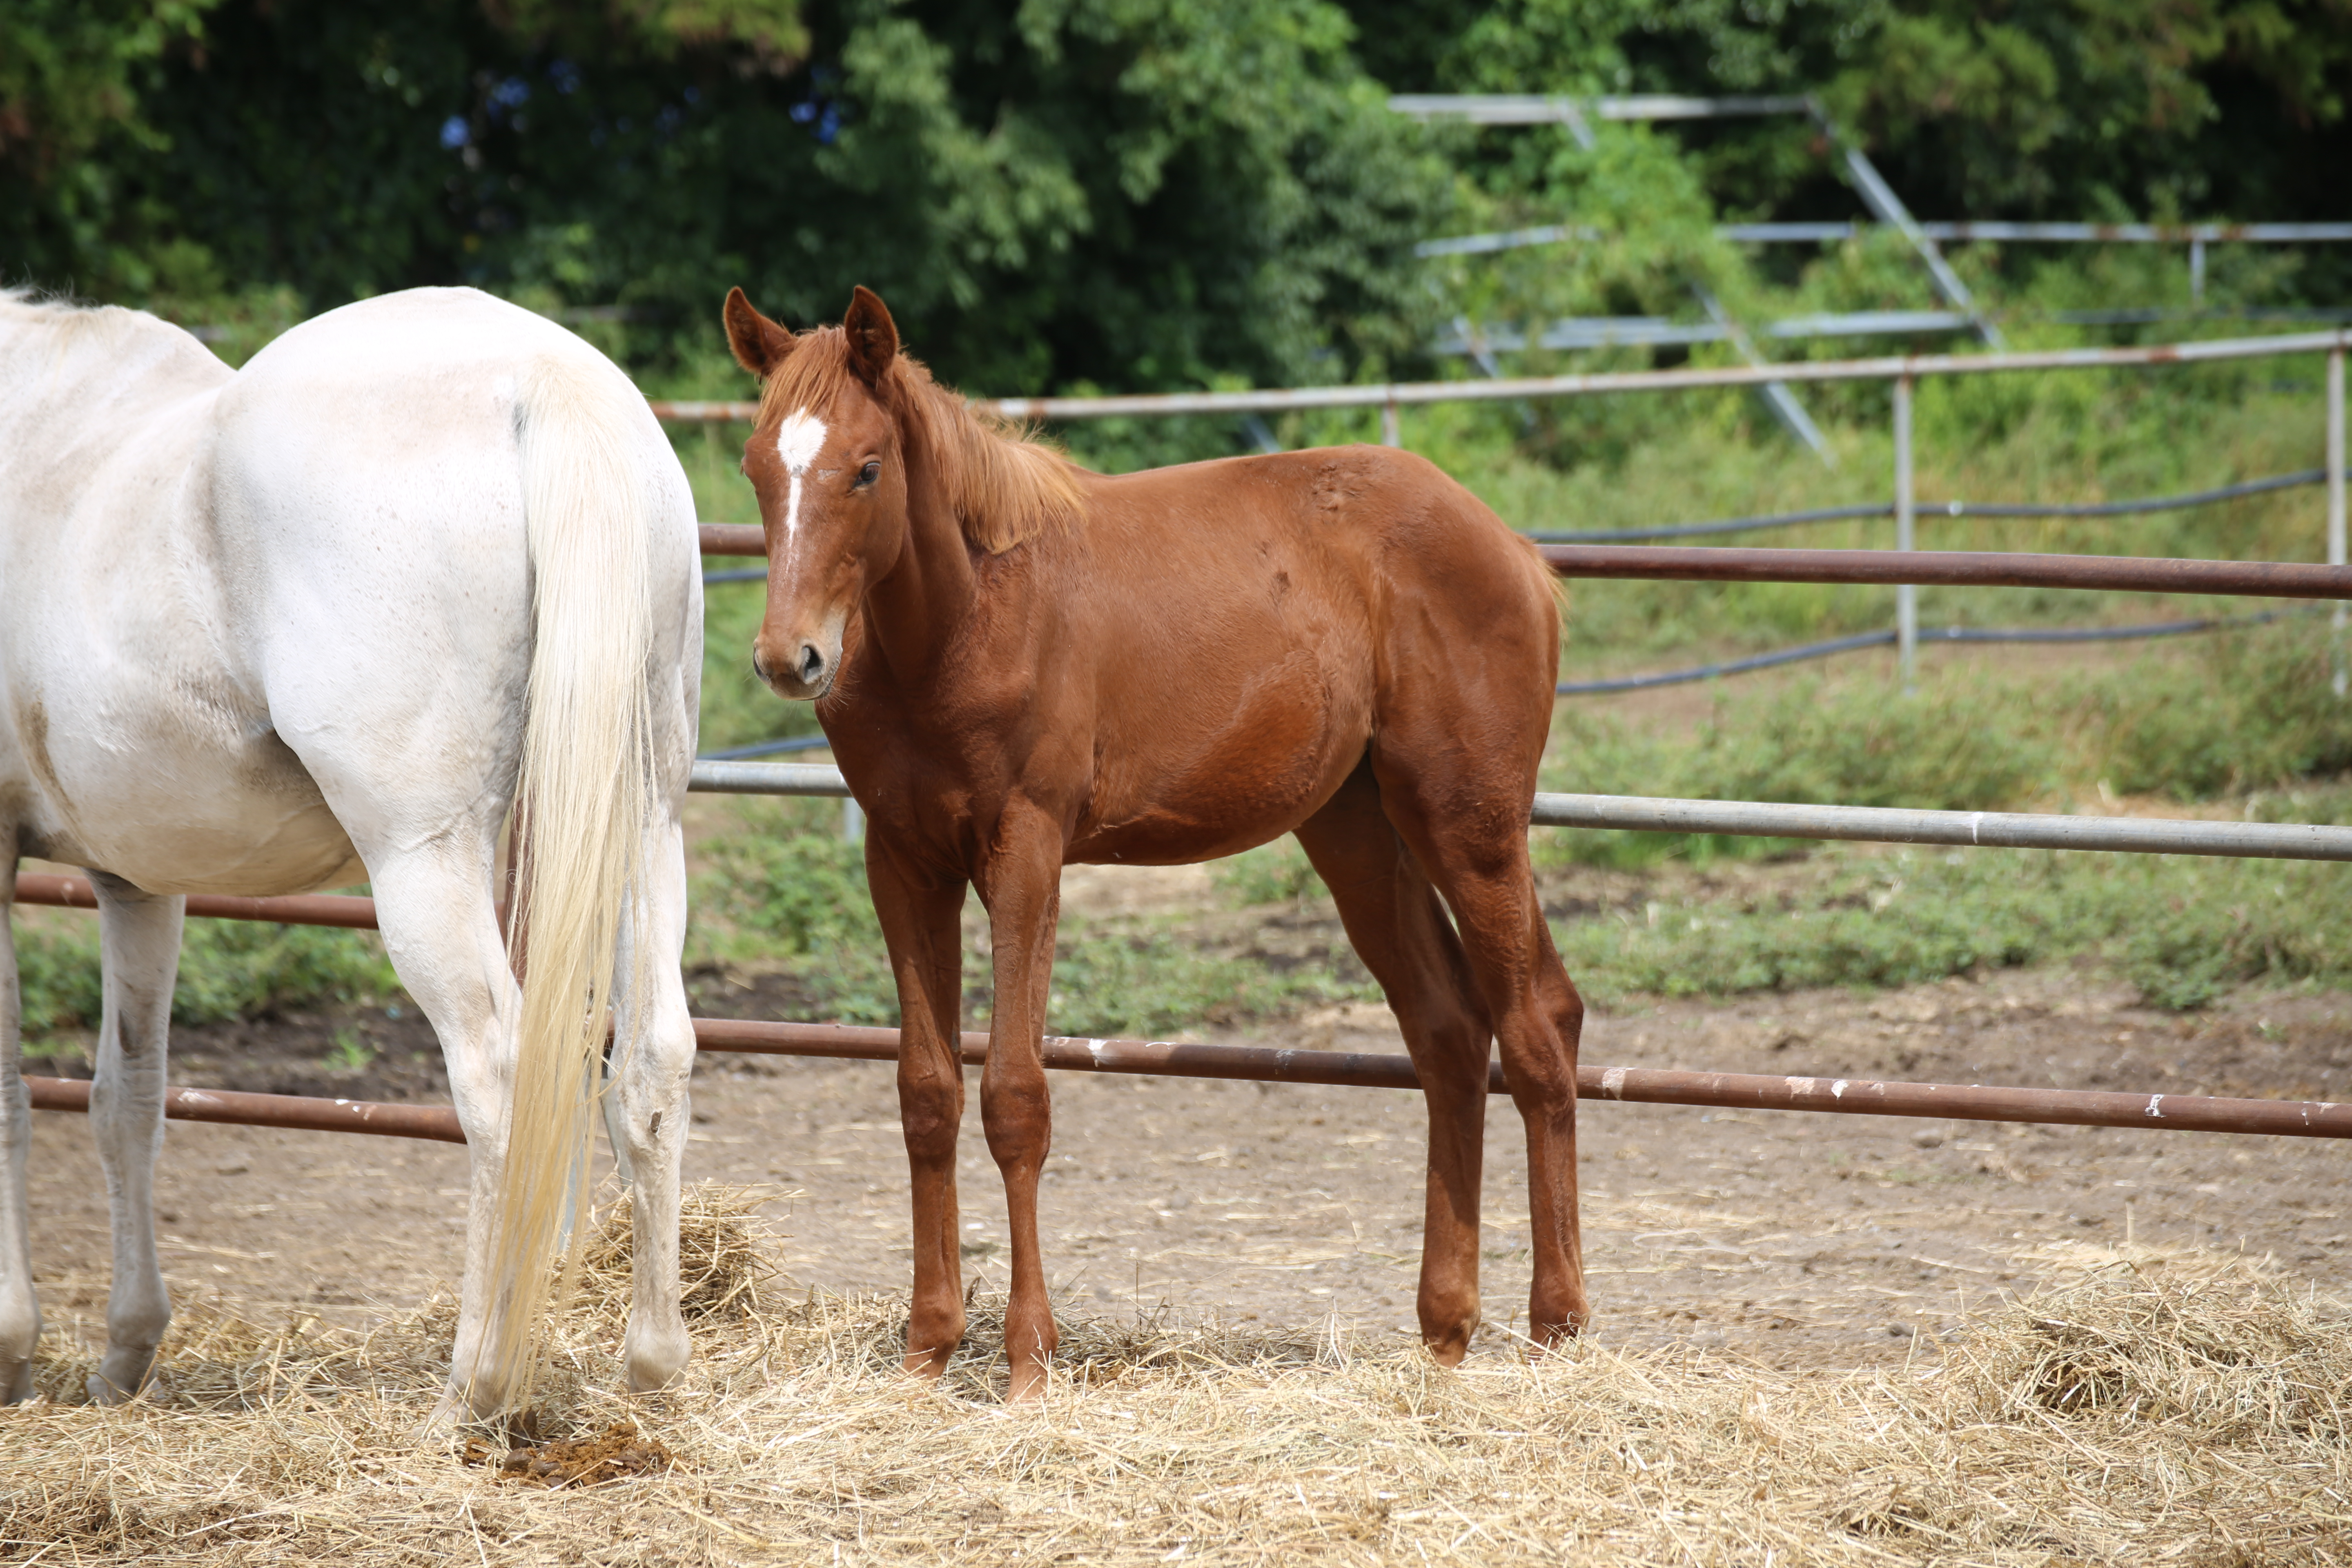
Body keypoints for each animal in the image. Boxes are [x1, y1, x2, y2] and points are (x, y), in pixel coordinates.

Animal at [0, 285, 701, 1420]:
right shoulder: (138, 881)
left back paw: (477, 1385)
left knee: (498, 1069)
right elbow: (126, 1100)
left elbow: (14, 1096)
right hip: (647, 820)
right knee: (652, 1059)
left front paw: (14, 1346)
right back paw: (651, 1362)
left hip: (424, 861)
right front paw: (124, 1352)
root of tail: (542, 376)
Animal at [724, 282, 1590, 1401]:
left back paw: (1556, 1325)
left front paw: (1027, 1360)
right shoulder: (902, 861)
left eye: (866, 468)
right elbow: (926, 1093)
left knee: (1533, 1032)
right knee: (1452, 1031)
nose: (790, 658)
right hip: (1358, 829)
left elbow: (1014, 1095)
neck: (965, 622)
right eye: (755, 465)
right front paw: (925, 1348)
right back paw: (1444, 1329)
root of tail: (1513, 549)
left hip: (1468, 821)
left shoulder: (1026, 852)